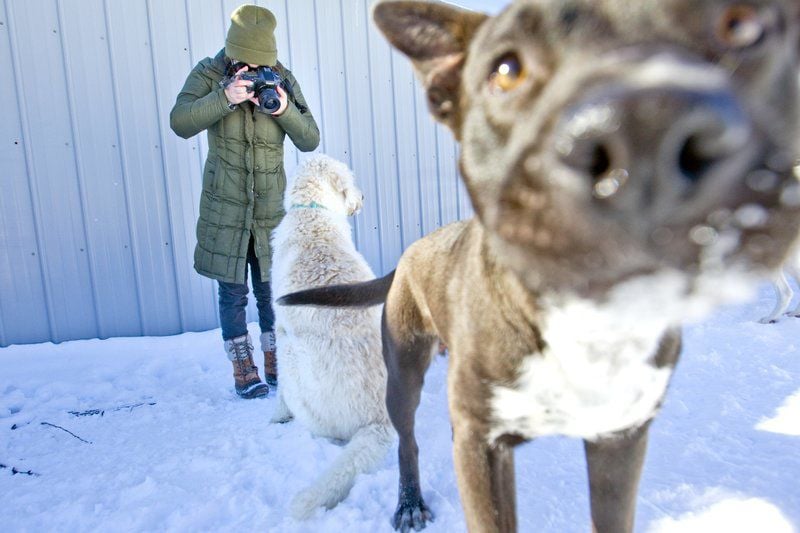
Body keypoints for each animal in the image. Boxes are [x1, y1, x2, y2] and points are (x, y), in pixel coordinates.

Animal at [268, 155, 394, 520]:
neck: (313, 214)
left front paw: (277, 413)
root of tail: (380, 420)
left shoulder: (279, 326)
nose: (363, 197)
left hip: (295, 360)